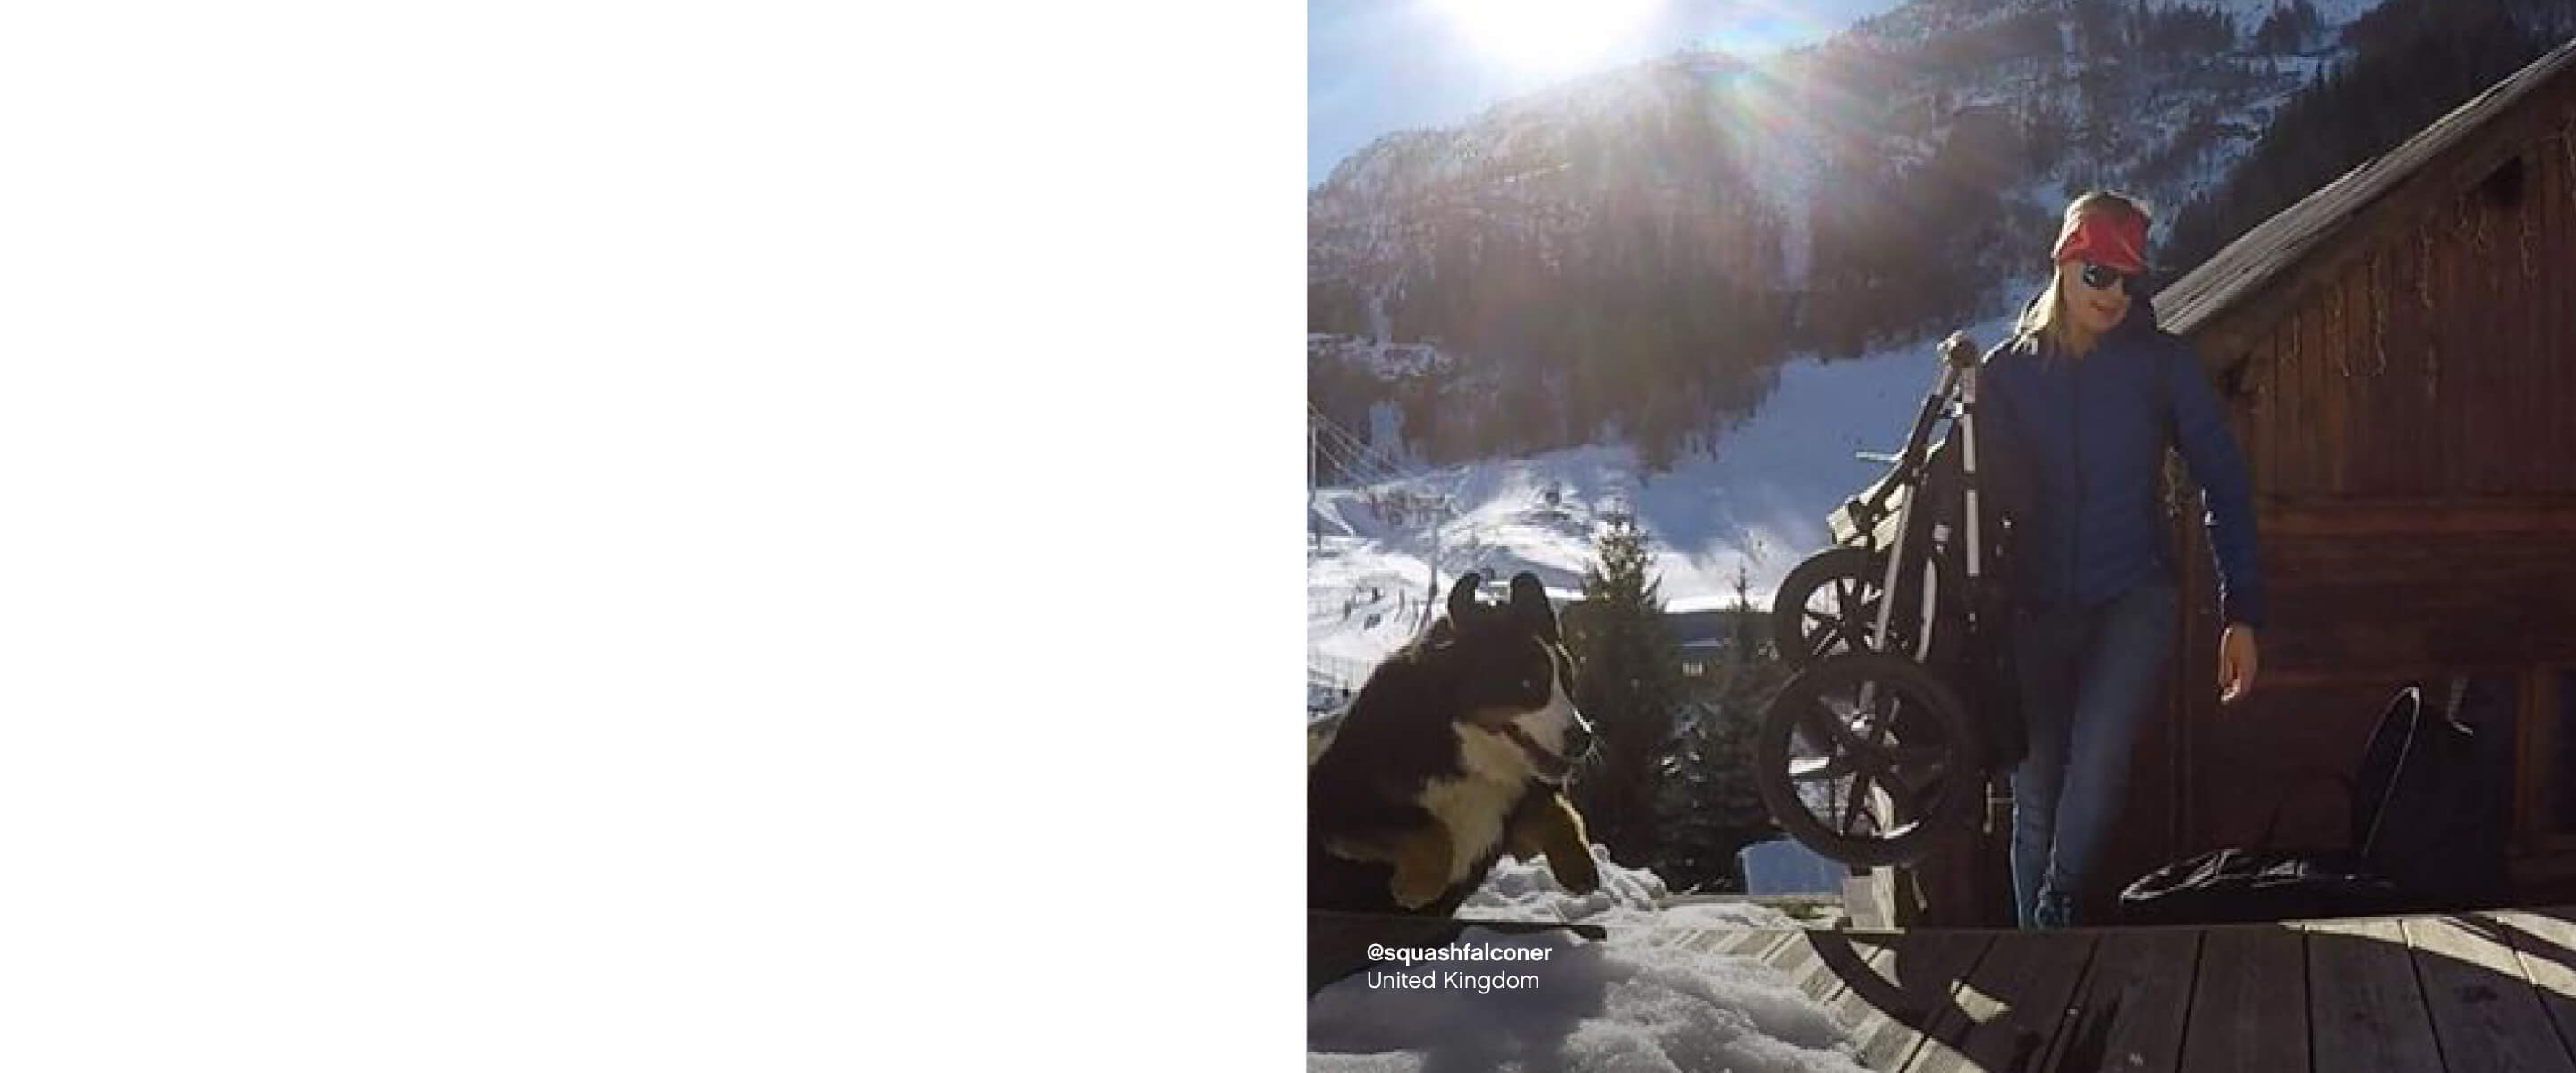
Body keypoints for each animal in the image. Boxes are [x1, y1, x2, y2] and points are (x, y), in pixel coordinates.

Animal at [1308, 571, 1601, 919]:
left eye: (1569, 682)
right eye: (1527, 682)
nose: (1584, 739)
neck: (1463, 755)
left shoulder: (1507, 824)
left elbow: (1559, 811)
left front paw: (1578, 865)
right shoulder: (1337, 802)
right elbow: (1432, 832)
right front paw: (1417, 887)